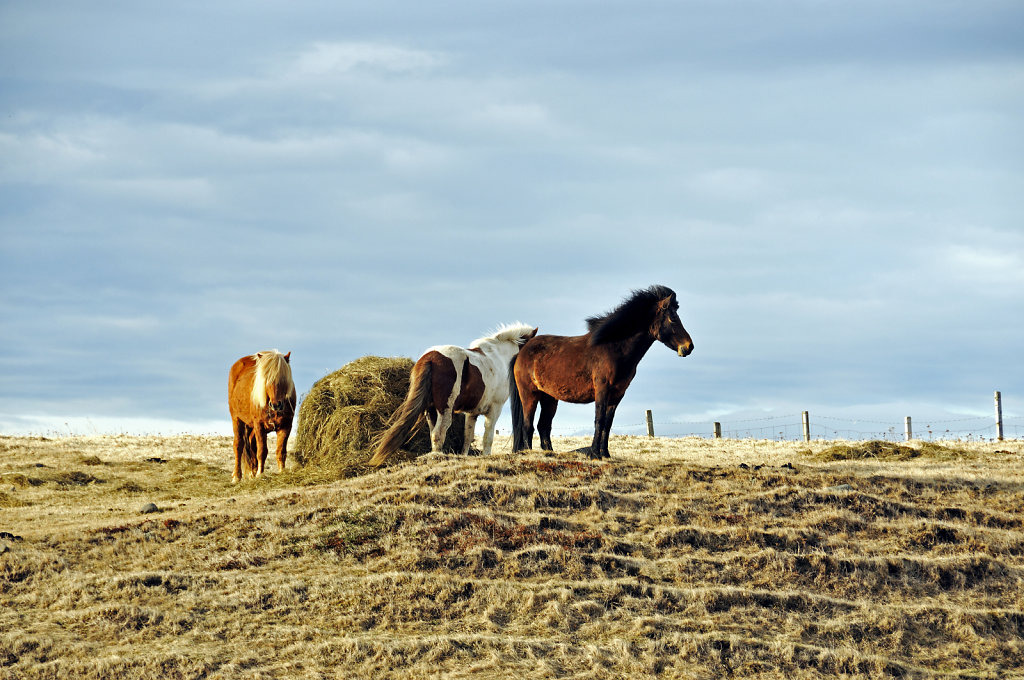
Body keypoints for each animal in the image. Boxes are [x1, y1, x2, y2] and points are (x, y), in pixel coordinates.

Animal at [228, 350, 296, 483]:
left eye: (283, 378)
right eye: (266, 379)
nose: (276, 405)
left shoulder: (286, 426)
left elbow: (281, 451)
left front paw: (282, 472)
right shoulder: (259, 426)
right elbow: (262, 451)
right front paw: (260, 474)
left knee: (251, 444)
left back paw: (252, 474)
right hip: (237, 419)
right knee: (238, 445)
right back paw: (237, 476)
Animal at [372, 325, 540, 466]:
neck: (500, 357)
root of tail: (430, 357)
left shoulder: (472, 413)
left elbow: (467, 437)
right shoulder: (494, 409)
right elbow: (488, 437)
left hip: (431, 411)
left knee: (433, 434)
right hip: (445, 410)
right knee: (439, 432)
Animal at [507, 284, 692, 458]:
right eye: (673, 318)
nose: (689, 347)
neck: (614, 348)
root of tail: (522, 350)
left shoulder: (617, 394)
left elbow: (608, 424)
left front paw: (605, 454)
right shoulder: (602, 389)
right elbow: (599, 420)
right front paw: (595, 454)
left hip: (549, 398)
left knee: (543, 425)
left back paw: (550, 453)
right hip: (529, 394)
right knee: (527, 424)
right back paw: (529, 452)